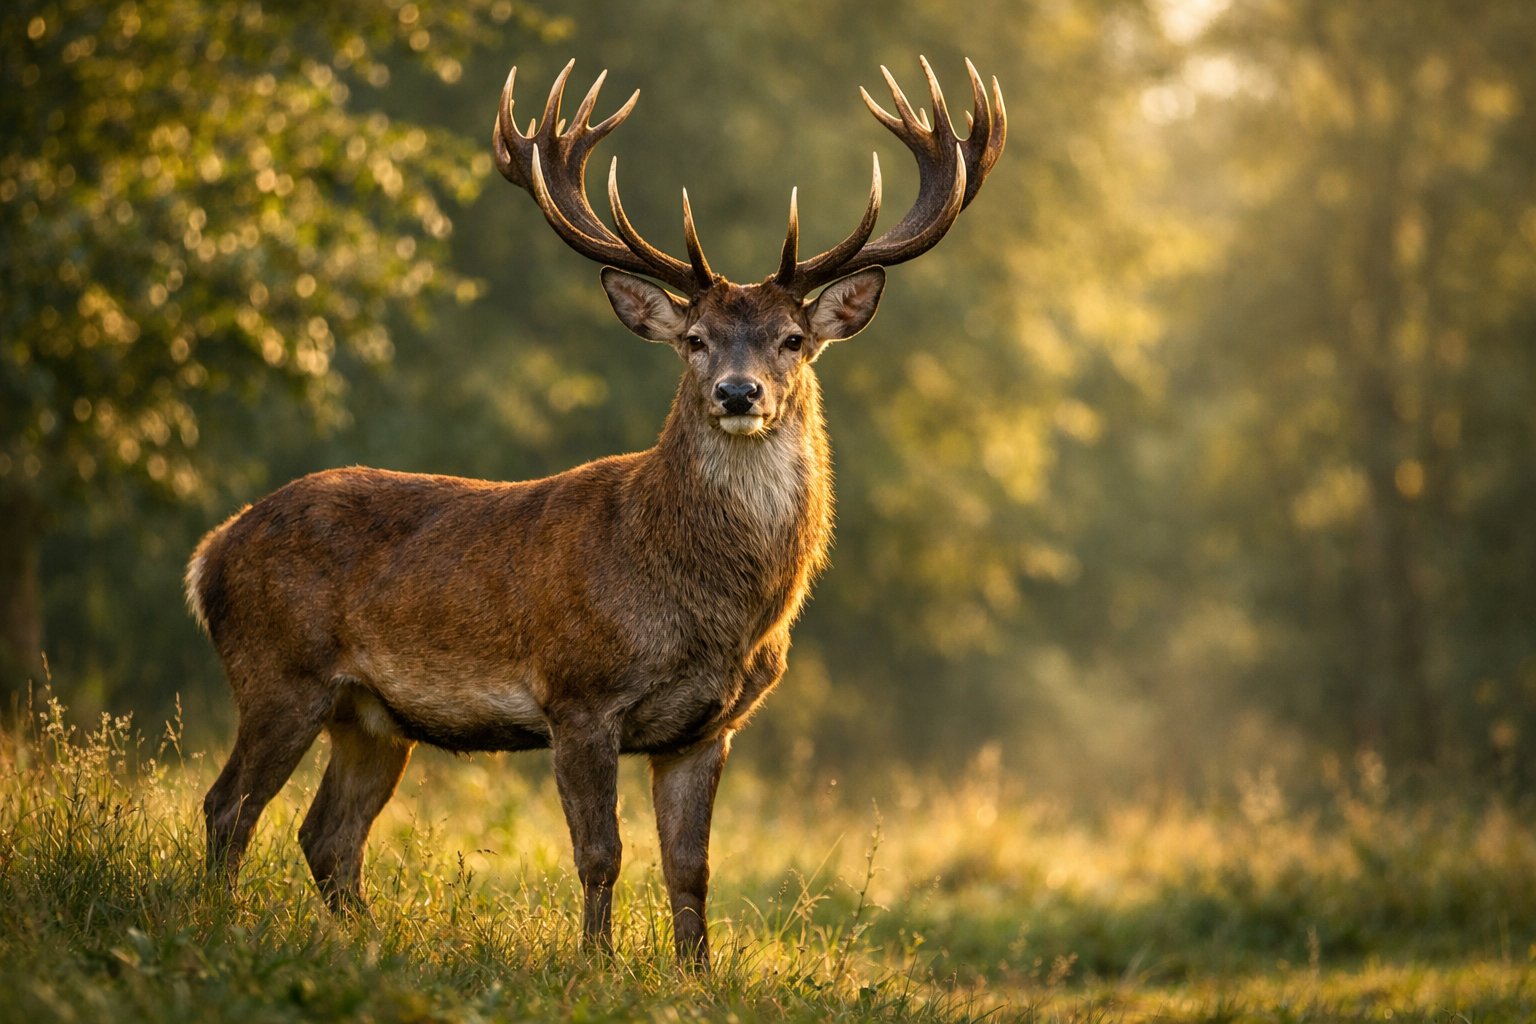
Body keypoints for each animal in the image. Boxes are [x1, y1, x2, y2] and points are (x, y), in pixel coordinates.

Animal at [186, 56, 1004, 967]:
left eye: (792, 338)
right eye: (695, 340)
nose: (738, 392)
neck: (709, 607)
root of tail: (211, 552)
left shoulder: (707, 727)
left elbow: (691, 867)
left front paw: (695, 975)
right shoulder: (577, 692)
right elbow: (601, 853)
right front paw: (597, 965)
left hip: (370, 717)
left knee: (327, 835)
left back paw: (369, 944)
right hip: (278, 669)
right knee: (229, 807)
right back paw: (217, 923)